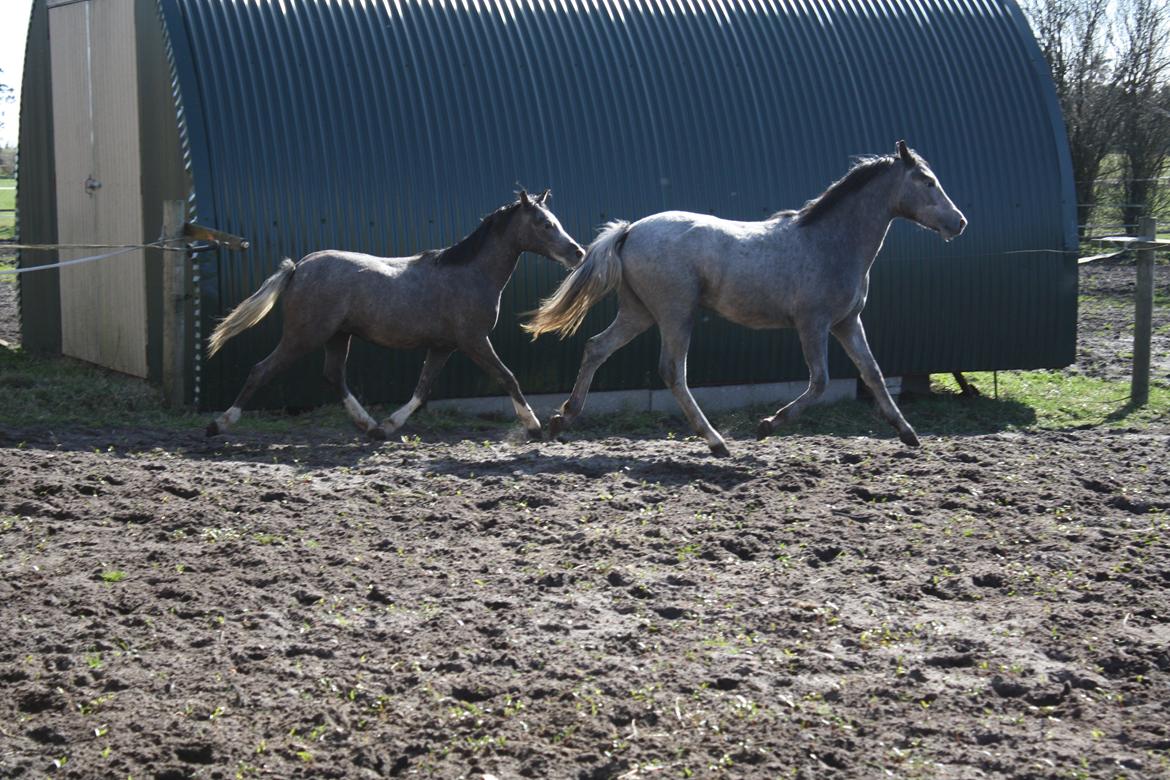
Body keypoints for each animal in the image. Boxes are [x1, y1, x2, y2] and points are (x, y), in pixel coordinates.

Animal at [208, 190, 585, 439]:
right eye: (543, 223)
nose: (577, 252)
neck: (471, 272)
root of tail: (298, 267)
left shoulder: (444, 346)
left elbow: (422, 388)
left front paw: (389, 425)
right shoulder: (474, 340)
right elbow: (508, 377)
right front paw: (534, 425)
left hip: (337, 336)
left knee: (333, 375)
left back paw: (368, 425)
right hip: (305, 335)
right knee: (262, 370)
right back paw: (219, 424)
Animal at [526, 143, 964, 453]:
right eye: (928, 181)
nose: (959, 222)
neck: (830, 243)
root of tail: (630, 230)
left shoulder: (846, 322)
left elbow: (872, 373)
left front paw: (908, 433)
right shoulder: (813, 324)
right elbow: (819, 381)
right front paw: (767, 426)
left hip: (640, 312)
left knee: (597, 347)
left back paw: (562, 419)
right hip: (675, 313)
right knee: (673, 371)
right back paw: (716, 442)